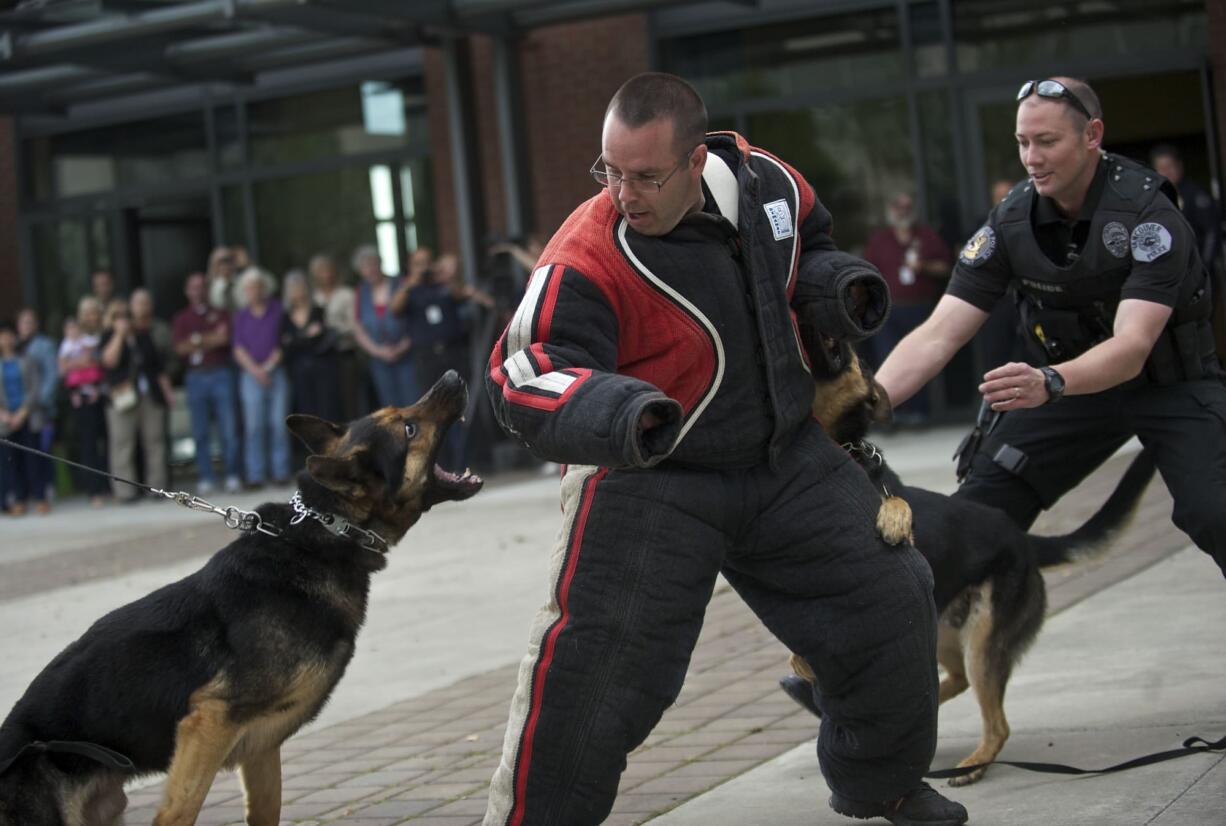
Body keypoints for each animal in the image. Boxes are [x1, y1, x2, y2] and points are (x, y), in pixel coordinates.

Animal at [0, 372, 485, 823]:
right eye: (409, 428)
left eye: (403, 416)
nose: (453, 377)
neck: (324, 532)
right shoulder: (210, 721)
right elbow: (178, 813)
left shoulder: (260, 746)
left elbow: (266, 809)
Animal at [784, 343, 1157, 779]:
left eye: (855, 359)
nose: (834, 342)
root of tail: (1022, 539)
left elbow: (897, 502)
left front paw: (892, 519)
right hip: (943, 629)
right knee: (953, 680)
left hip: (981, 638)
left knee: (996, 721)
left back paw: (976, 762)